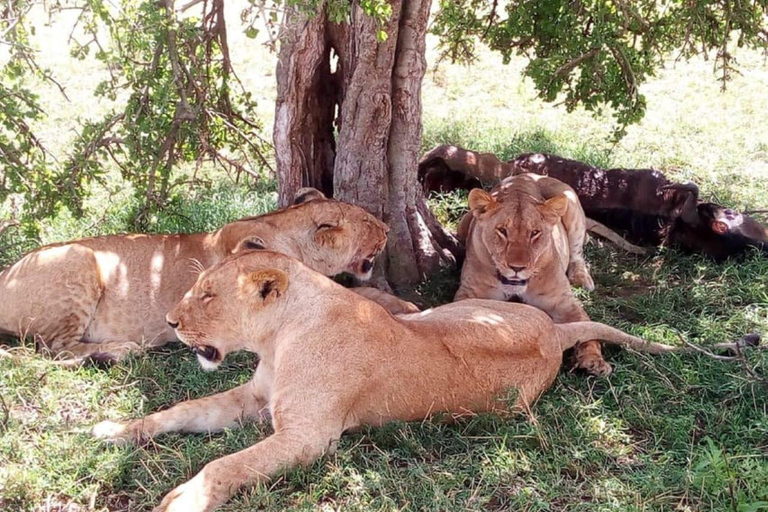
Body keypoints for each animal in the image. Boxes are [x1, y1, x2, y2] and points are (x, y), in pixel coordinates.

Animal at [0, 188, 408, 360]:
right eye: (370, 222)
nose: (389, 228)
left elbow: (365, 296)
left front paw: (401, 306)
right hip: (79, 258)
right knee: (52, 349)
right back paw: (119, 351)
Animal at [93, 251, 680, 512]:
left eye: (209, 296)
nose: (171, 322)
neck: (278, 339)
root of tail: (552, 331)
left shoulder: (310, 437)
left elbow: (226, 464)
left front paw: (184, 499)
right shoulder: (251, 399)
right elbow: (179, 412)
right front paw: (115, 429)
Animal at [456, 175, 612, 376]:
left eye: (535, 233)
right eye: (502, 231)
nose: (517, 267)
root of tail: (525, 175)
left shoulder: (564, 303)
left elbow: (589, 330)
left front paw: (594, 361)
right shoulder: (470, 295)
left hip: (571, 204)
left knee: (577, 253)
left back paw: (581, 279)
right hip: (463, 223)